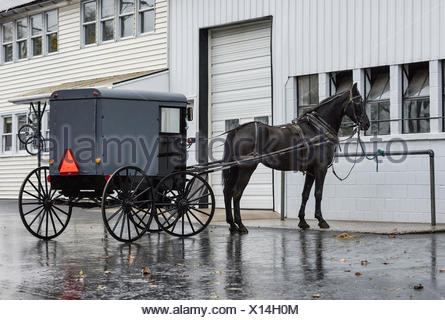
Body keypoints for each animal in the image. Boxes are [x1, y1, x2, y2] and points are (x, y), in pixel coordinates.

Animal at [220, 82, 370, 232]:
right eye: (359, 102)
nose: (367, 124)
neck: (317, 129)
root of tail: (238, 129)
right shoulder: (320, 169)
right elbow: (318, 193)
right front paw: (321, 220)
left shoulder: (311, 171)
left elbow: (305, 194)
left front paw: (302, 221)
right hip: (247, 168)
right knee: (236, 193)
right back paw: (240, 224)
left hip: (235, 168)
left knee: (227, 192)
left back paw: (232, 224)